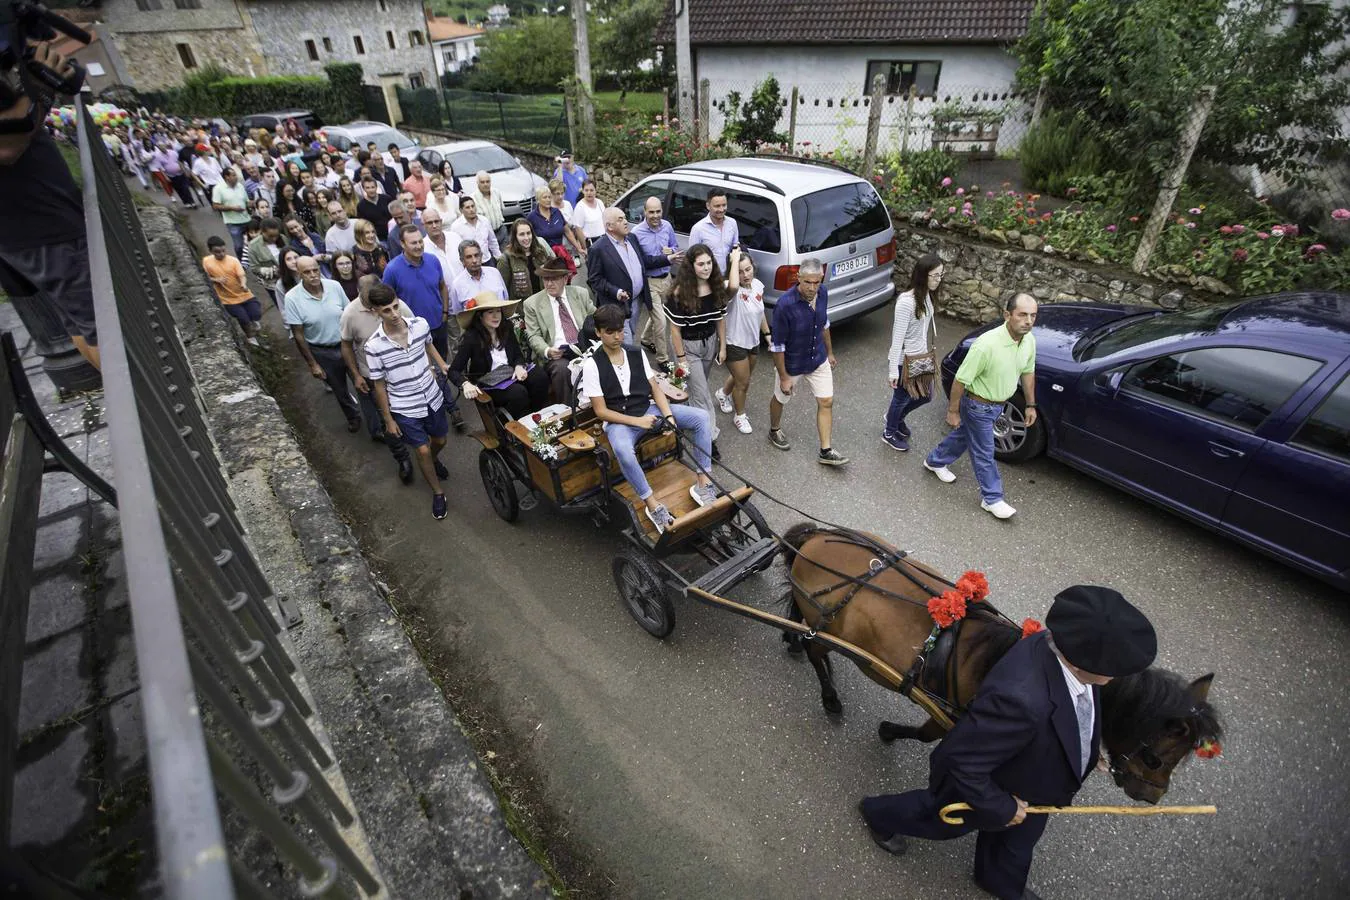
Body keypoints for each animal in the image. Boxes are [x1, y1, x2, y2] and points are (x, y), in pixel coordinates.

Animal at [783, 520, 1225, 804]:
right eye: (1156, 757)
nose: (1153, 795)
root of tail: (815, 537)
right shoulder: (961, 716)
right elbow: (928, 737)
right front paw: (890, 731)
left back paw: (791, 638)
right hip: (826, 627)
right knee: (817, 651)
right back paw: (828, 694)